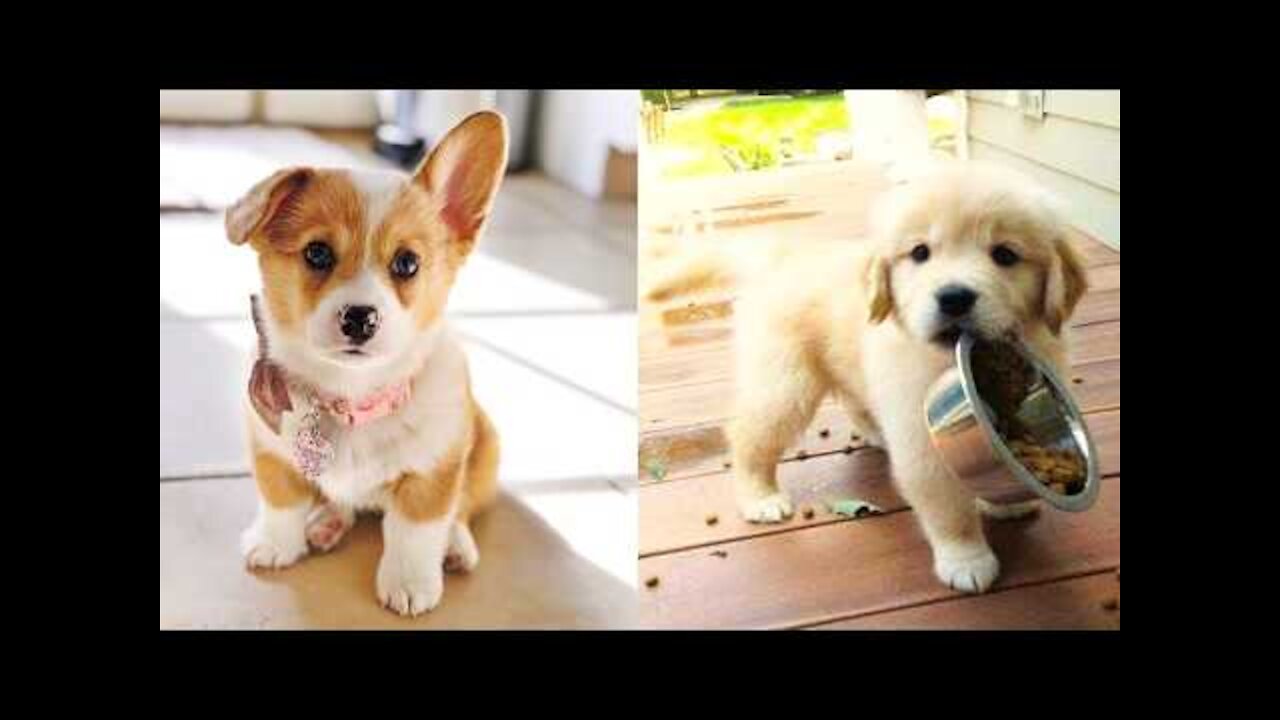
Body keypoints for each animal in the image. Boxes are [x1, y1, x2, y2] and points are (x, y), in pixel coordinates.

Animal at [227, 110, 506, 609]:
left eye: (408, 263)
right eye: (317, 253)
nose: (361, 318)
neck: (352, 397)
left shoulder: (433, 473)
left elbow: (416, 530)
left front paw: (410, 584)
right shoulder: (271, 452)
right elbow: (281, 502)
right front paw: (276, 543)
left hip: (485, 448)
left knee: (463, 508)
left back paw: (455, 545)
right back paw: (327, 522)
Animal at [645, 159, 1085, 591]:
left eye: (1005, 255)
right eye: (920, 253)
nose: (954, 297)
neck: (940, 360)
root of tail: (782, 258)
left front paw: (1006, 500)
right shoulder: (920, 441)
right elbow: (948, 509)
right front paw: (966, 560)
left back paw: (872, 431)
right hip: (786, 384)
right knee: (749, 436)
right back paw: (760, 496)